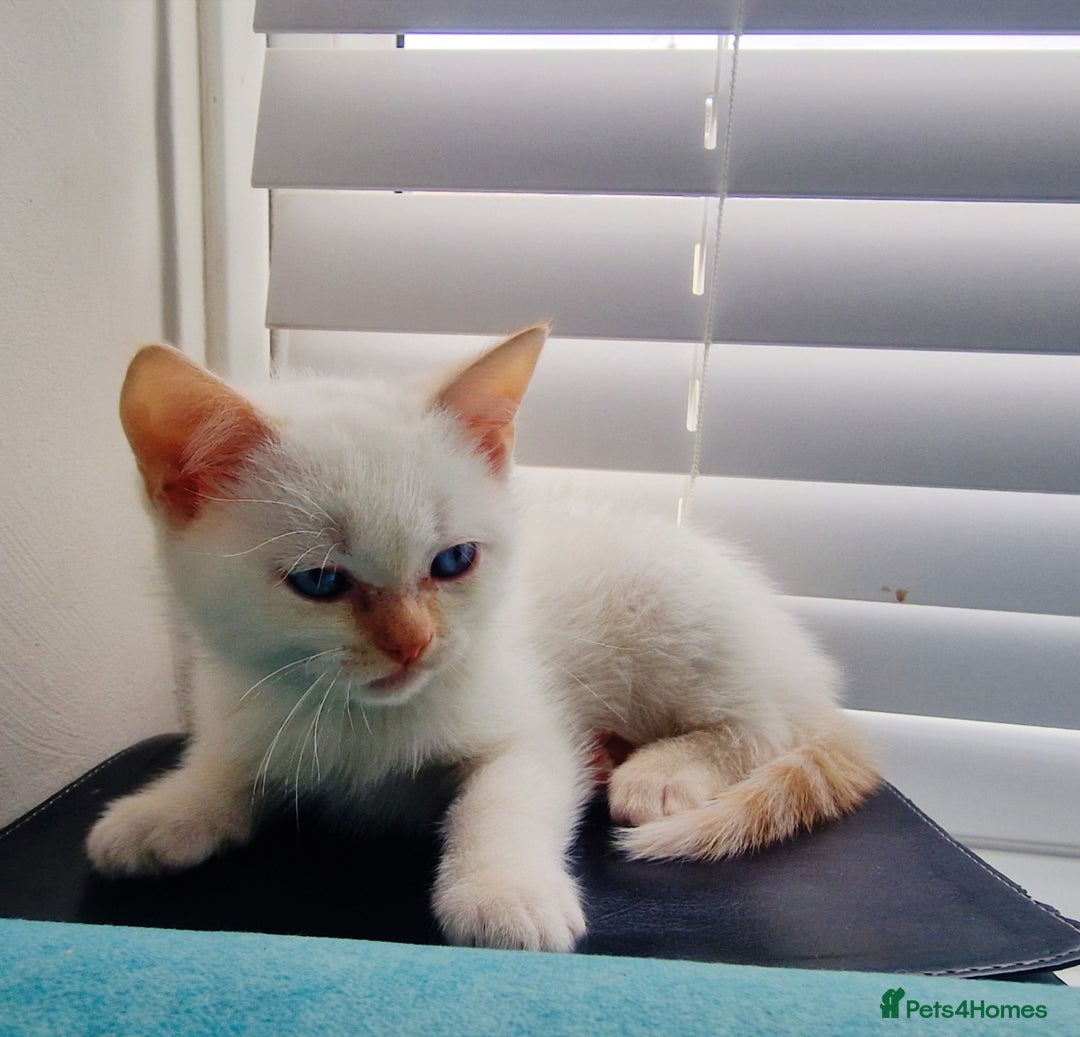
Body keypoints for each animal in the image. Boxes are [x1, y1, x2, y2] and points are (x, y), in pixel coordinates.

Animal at [86, 324, 879, 952]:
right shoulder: (253, 700)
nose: (413, 644)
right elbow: (230, 763)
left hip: (680, 626)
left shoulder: (529, 727)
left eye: (453, 561)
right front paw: (165, 809)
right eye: (319, 581)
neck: (360, 720)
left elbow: (504, 799)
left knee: (762, 726)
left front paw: (503, 892)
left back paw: (660, 771)